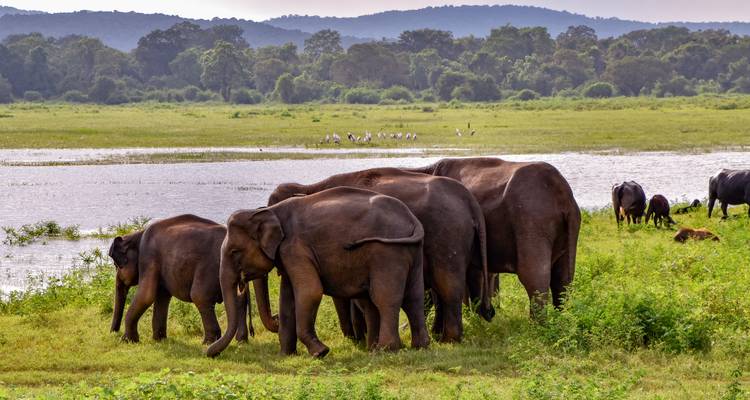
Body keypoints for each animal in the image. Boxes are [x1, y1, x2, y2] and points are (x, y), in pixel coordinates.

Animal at [108, 214, 258, 344]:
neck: (138, 234)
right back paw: (241, 341)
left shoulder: (148, 258)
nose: (113, 333)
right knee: (239, 300)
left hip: (211, 267)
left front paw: (127, 340)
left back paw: (208, 342)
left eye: (116, 265)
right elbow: (162, 297)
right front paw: (159, 340)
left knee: (200, 296)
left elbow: (146, 296)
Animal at [206, 187, 429, 358]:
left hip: (387, 253)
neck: (269, 211)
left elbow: (310, 291)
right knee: (414, 297)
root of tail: (412, 219)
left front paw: (320, 352)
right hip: (412, 251)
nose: (209, 354)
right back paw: (419, 347)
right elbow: (287, 298)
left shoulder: (295, 248)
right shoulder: (288, 254)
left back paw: (385, 350)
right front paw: (287, 355)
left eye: (235, 252)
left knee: (384, 298)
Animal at [262, 167, 493, 343]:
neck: (309, 189)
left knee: (448, 287)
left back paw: (448, 339)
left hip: (448, 235)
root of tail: (470, 201)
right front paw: (360, 338)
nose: (275, 317)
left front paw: (356, 339)